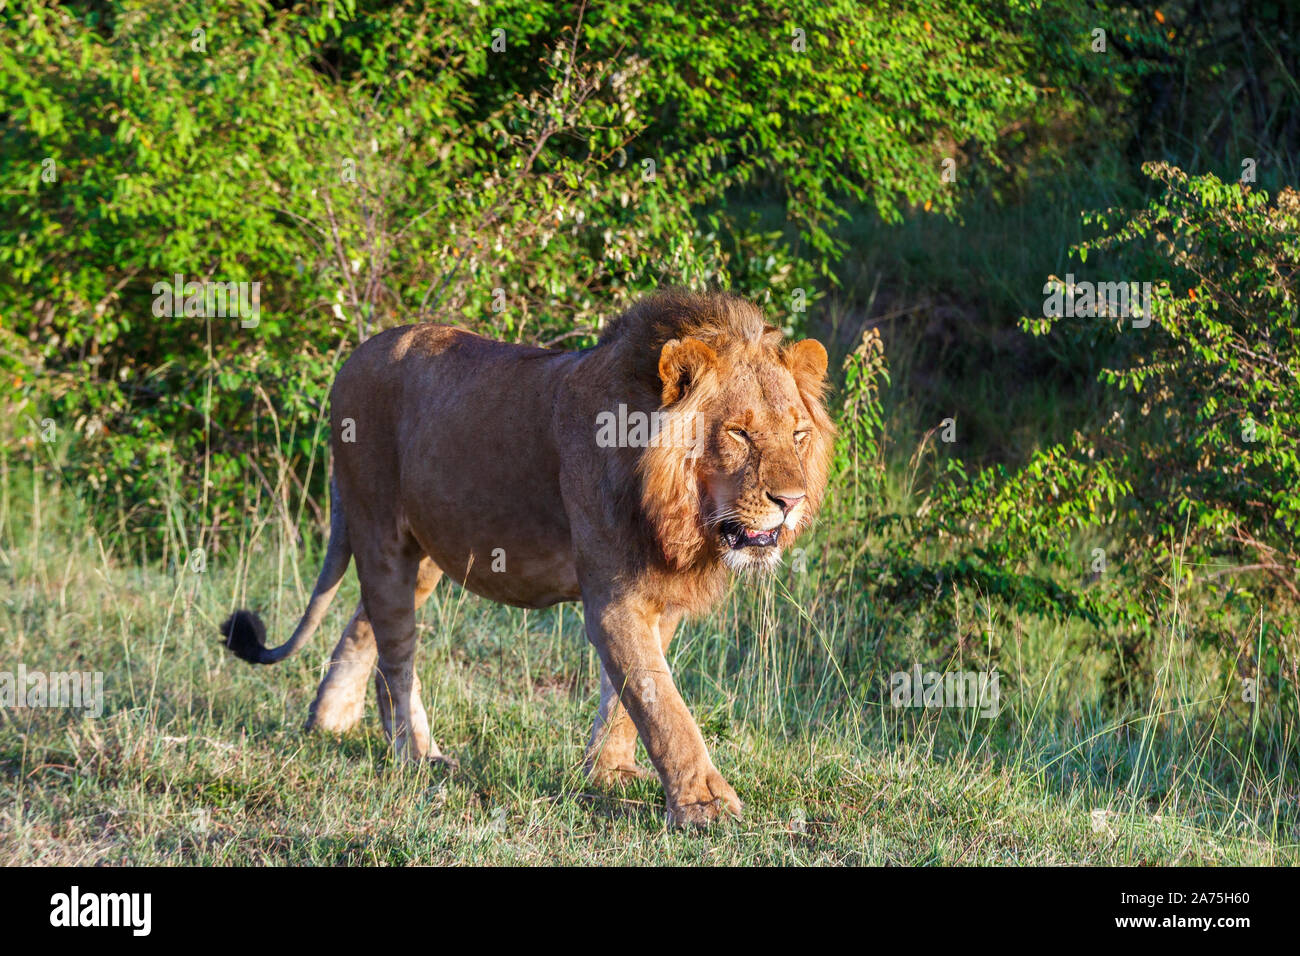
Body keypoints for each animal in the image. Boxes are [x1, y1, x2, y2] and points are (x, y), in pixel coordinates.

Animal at [220, 287, 832, 827]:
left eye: (798, 434)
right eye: (739, 433)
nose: (791, 502)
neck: (679, 512)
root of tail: (355, 356)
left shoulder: (661, 597)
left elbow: (628, 699)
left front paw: (608, 773)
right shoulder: (612, 598)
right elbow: (662, 706)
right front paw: (705, 805)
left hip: (424, 553)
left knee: (365, 627)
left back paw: (331, 722)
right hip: (379, 533)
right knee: (397, 653)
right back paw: (416, 754)